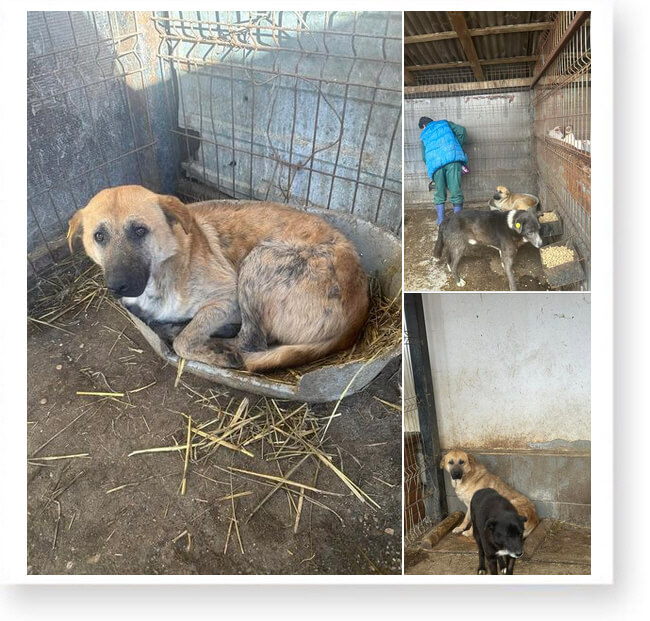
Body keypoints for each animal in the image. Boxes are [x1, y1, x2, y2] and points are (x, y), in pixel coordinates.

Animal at [67, 185, 369, 372]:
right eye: (99, 236)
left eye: (140, 230)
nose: (118, 286)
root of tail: (358, 315)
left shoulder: (227, 299)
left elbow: (185, 341)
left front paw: (201, 344)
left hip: (259, 261)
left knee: (251, 341)